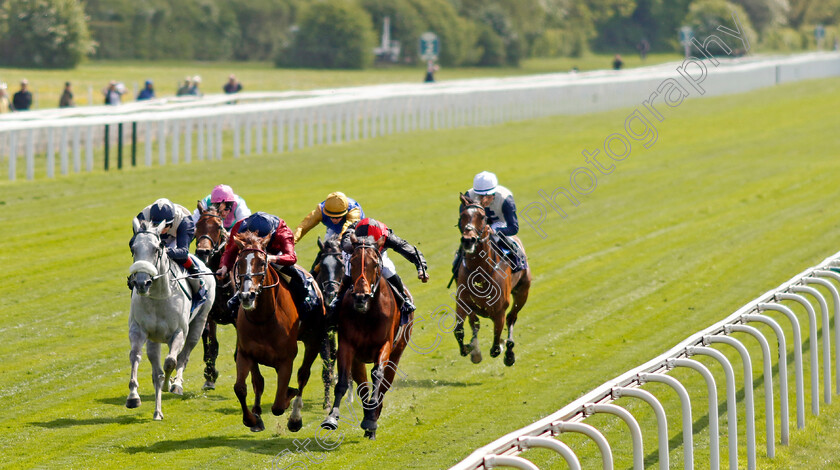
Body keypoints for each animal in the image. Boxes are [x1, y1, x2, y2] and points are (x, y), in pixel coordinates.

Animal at [126, 218, 217, 420]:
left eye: (156, 248)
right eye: (133, 248)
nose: (142, 283)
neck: (159, 298)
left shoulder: (178, 332)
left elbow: (171, 361)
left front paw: (170, 384)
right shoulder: (139, 330)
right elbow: (135, 356)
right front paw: (133, 396)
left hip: (199, 323)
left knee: (184, 356)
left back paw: (176, 384)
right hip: (154, 340)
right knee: (155, 369)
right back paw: (157, 412)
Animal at [233, 229, 324, 432]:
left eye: (261, 262)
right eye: (239, 262)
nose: (247, 295)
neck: (262, 318)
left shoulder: (286, 360)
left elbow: (278, 405)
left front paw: (289, 396)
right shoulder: (245, 353)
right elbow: (242, 387)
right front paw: (252, 419)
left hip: (313, 339)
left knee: (303, 375)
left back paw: (295, 417)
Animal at [320, 235, 412, 440]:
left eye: (375, 263)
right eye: (352, 263)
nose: (361, 297)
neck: (368, 313)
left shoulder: (385, 345)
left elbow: (377, 374)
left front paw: (371, 420)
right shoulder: (347, 346)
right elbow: (343, 381)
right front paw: (331, 417)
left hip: (397, 353)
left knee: (384, 385)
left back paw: (372, 420)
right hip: (358, 360)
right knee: (362, 387)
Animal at [456, 193, 528, 366]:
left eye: (482, 216)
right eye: (463, 216)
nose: (468, 240)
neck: (480, 273)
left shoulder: (499, 311)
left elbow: (495, 345)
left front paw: (502, 347)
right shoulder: (462, 303)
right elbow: (459, 330)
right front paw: (470, 349)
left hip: (522, 292)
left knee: (512, 318)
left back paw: (509, 352)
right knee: (475, 323)